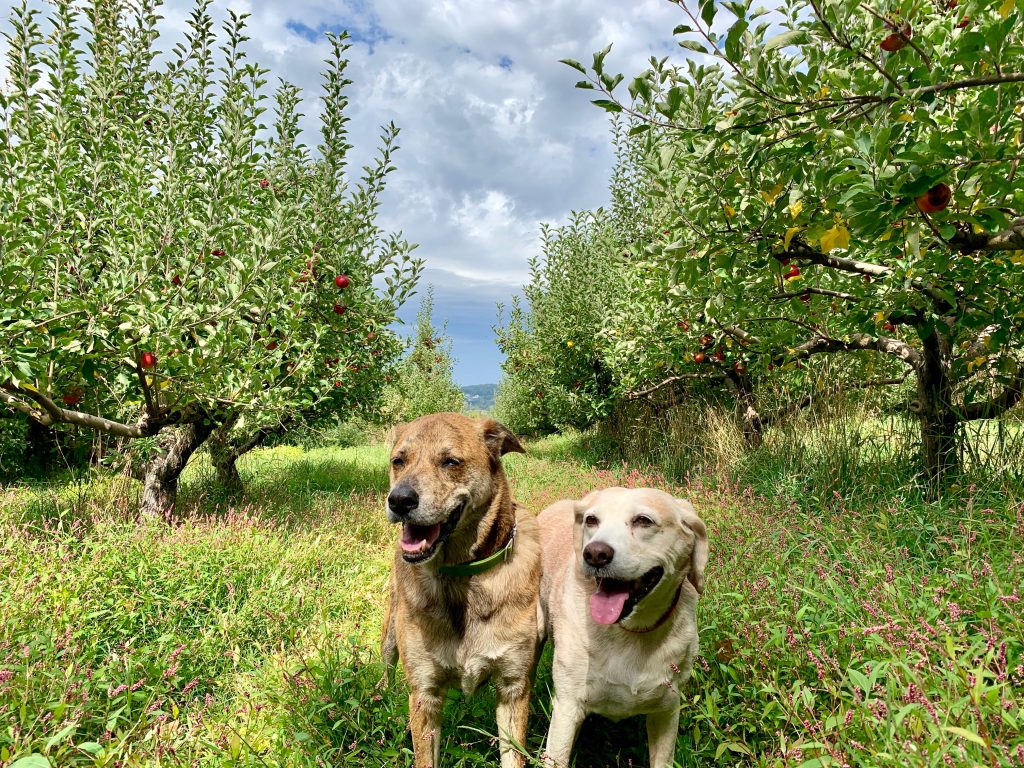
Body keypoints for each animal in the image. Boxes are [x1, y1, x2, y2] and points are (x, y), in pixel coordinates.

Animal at [382, 415, 544, 768]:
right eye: (398, 461)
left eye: (450, 462)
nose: (399, 500)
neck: (461, 578)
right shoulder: (425, 695)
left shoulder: (513, 689)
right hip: (390, 627)